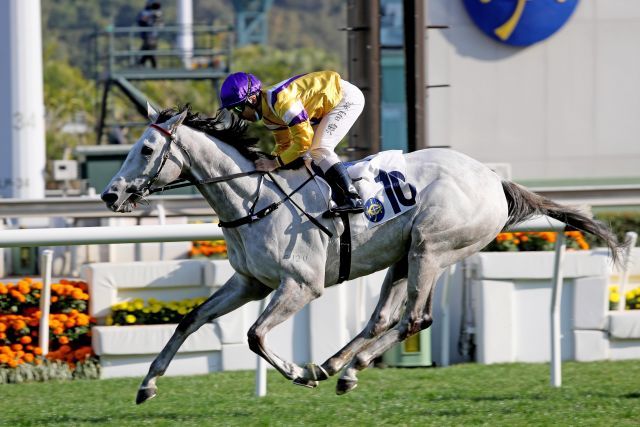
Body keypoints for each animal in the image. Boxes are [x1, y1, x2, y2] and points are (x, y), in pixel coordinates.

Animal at [102, 105, 624, 402]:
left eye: (145, 149)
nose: (110, 195)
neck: (254, 199)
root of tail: (495, 180)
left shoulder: (301, 285)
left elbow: (254, 336)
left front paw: (298, 373)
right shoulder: (248, 282)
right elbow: (190, 320)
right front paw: (147, 384)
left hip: (432, 247)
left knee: (415, 318)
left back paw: (343, 369)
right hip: (402, 255)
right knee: (382, 319)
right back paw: (339, 365)